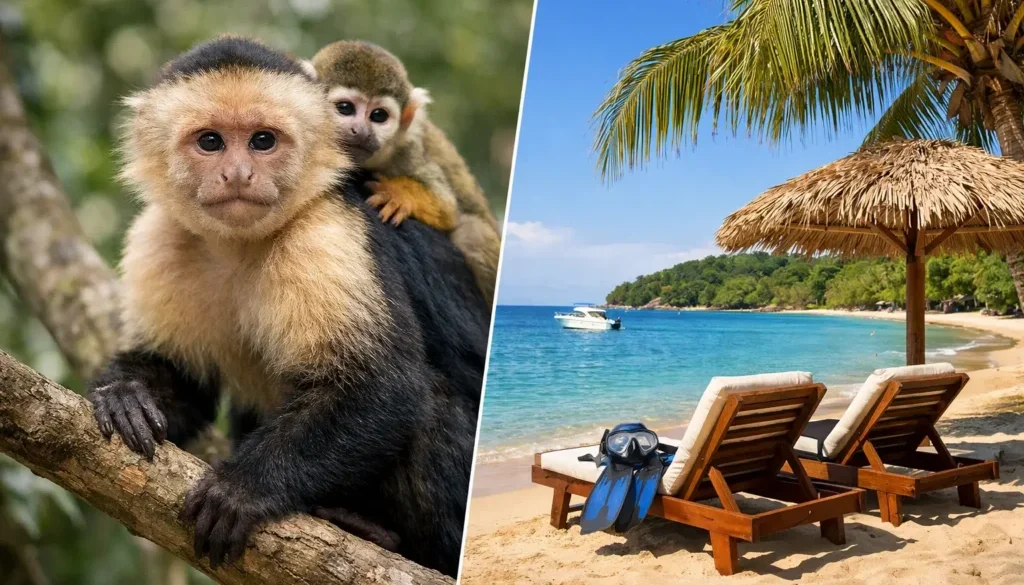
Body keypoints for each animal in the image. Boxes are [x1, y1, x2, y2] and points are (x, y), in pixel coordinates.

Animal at [308, 40, 502, 308]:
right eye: (345, 108)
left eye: (379, 116)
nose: (361, 131)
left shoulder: (408, 149)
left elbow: (447, 206)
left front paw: (400, 195)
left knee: (474, 234)